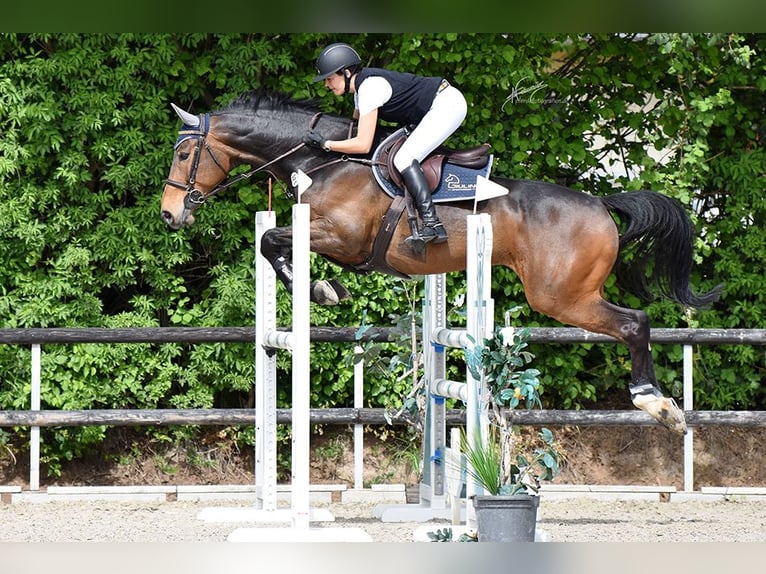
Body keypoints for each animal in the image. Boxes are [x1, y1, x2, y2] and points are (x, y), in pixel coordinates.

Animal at [159, 90, 724, 434]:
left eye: (184, 156)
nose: (169, 215)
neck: (324, 160)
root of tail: (601, 204)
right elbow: (272, 241)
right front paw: (321, 287)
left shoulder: (343, 239)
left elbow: (271, 239)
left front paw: (318, 288)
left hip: (561, 295)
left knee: (634, 323)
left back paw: (656, 403)